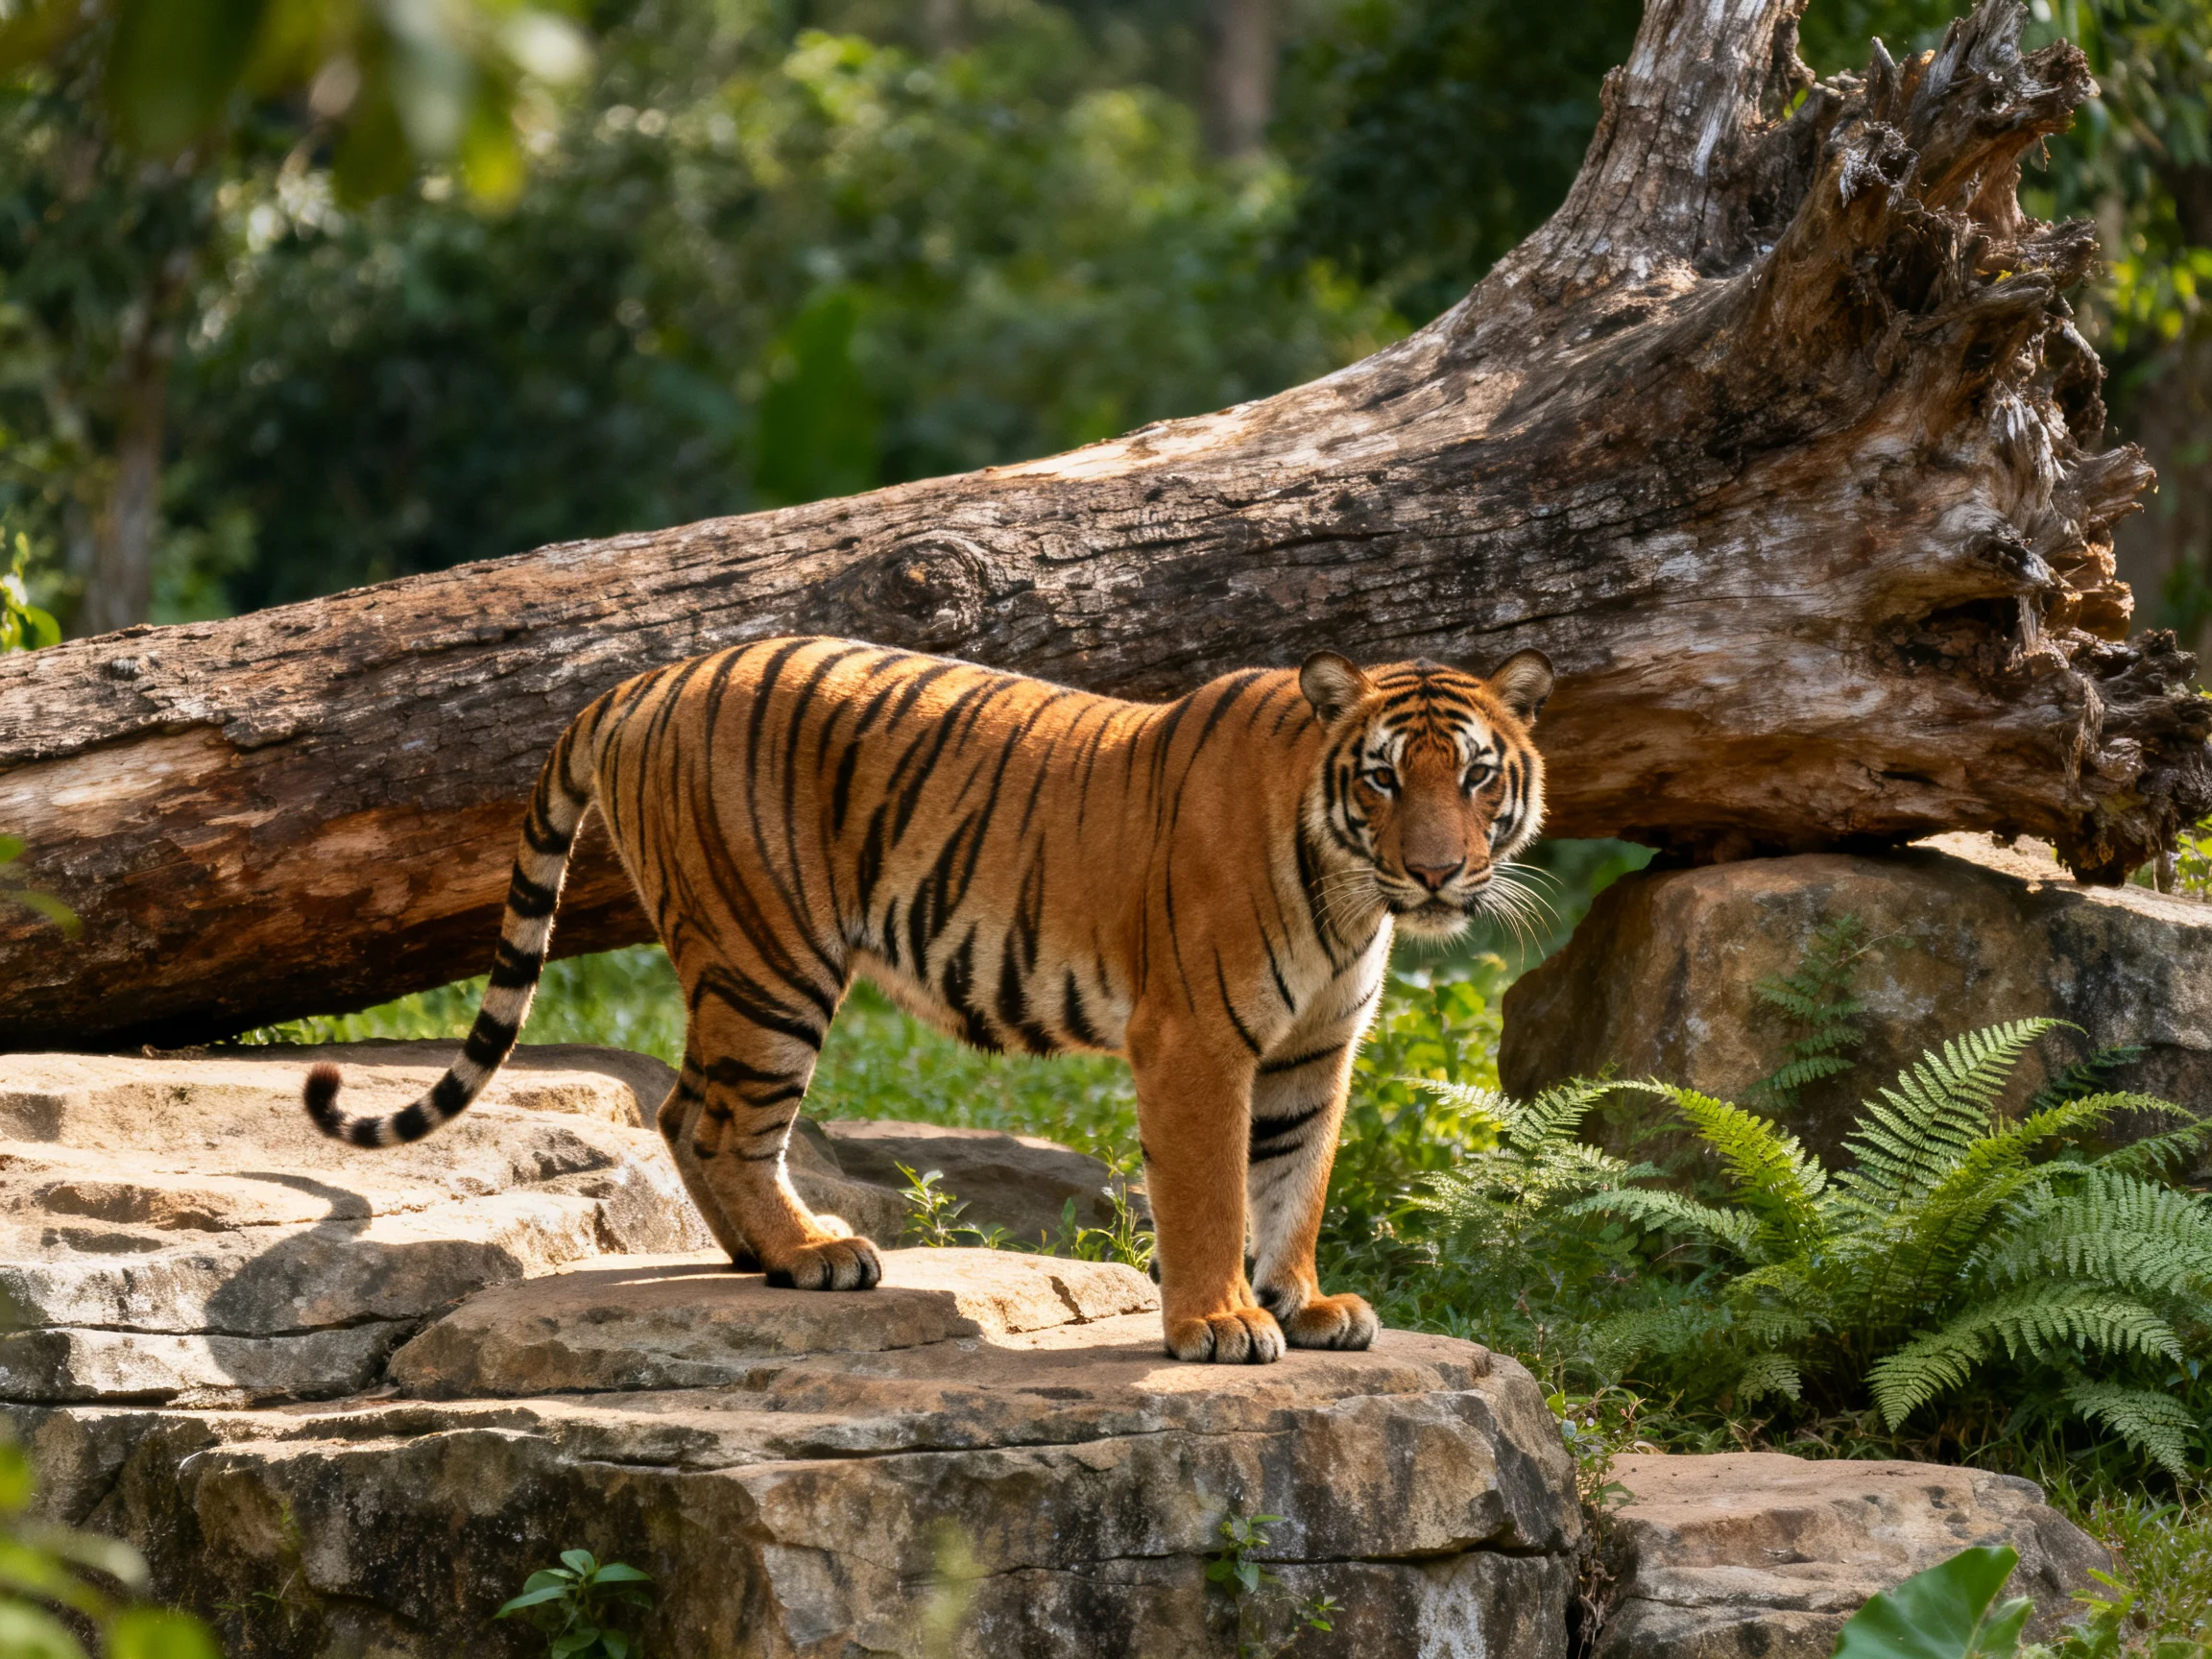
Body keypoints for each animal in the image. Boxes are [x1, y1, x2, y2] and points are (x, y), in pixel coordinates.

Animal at [304, 636, 1553, 1364]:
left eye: (1477, 774)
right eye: (1382, 776)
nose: (1438, 872)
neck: (1350, 894)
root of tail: (641, 679)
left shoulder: (1314, 1048)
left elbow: (1294, 1182)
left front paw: (1302, 1303)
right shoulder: (1197, 1043)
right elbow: (1211, 1196)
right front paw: (1219, 1323)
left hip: (741, 965)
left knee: (678, 1109)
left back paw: (767, 1256)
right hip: (771, 959)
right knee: (722, 1120)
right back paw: (812, 1254)